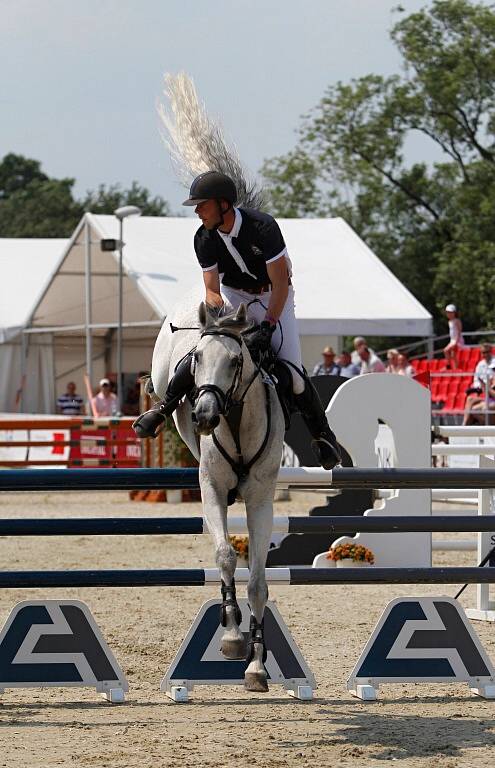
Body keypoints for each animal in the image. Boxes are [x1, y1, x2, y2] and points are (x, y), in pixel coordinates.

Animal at [151, 296, 284, 688]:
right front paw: (232, 636)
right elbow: (225, 555)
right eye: (196, 358)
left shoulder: (260, 501)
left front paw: (256, 665)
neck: (236, 422)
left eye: (236, 361)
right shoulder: (211, 490)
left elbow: (256, 583)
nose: (204, 416)